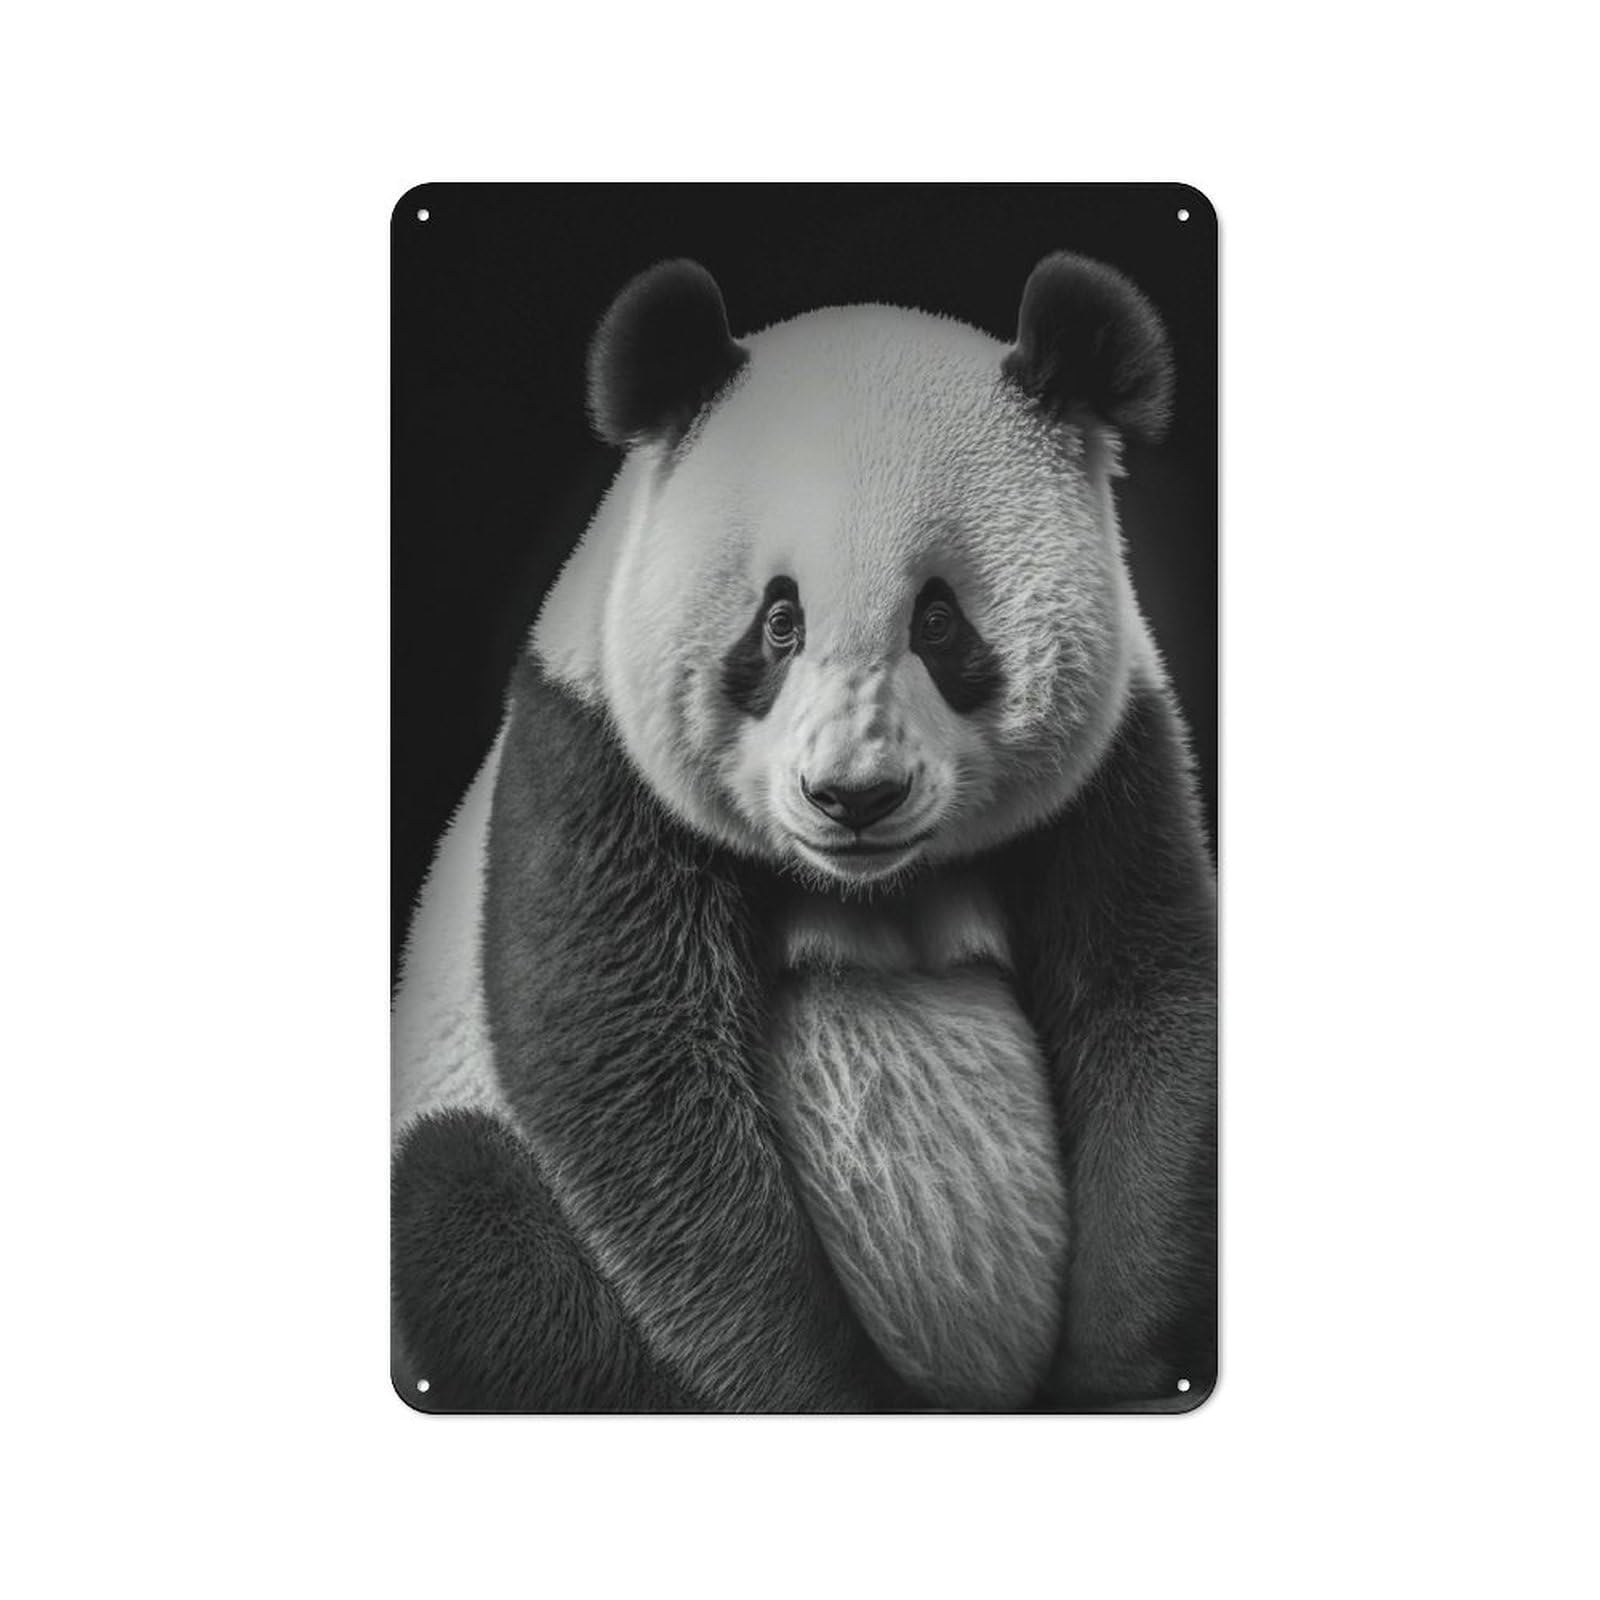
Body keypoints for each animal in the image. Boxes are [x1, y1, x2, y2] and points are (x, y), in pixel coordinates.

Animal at [392, 252, 1217, 1413]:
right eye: (778, 623)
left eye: (939, 620)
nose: (853, 797)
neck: (870, 881)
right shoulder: (595, 762)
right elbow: (641, 1086)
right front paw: (815, 1389)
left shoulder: (1113, 763)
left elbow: (1148, 1009)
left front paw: (1124, 1372)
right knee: (462, 1216)